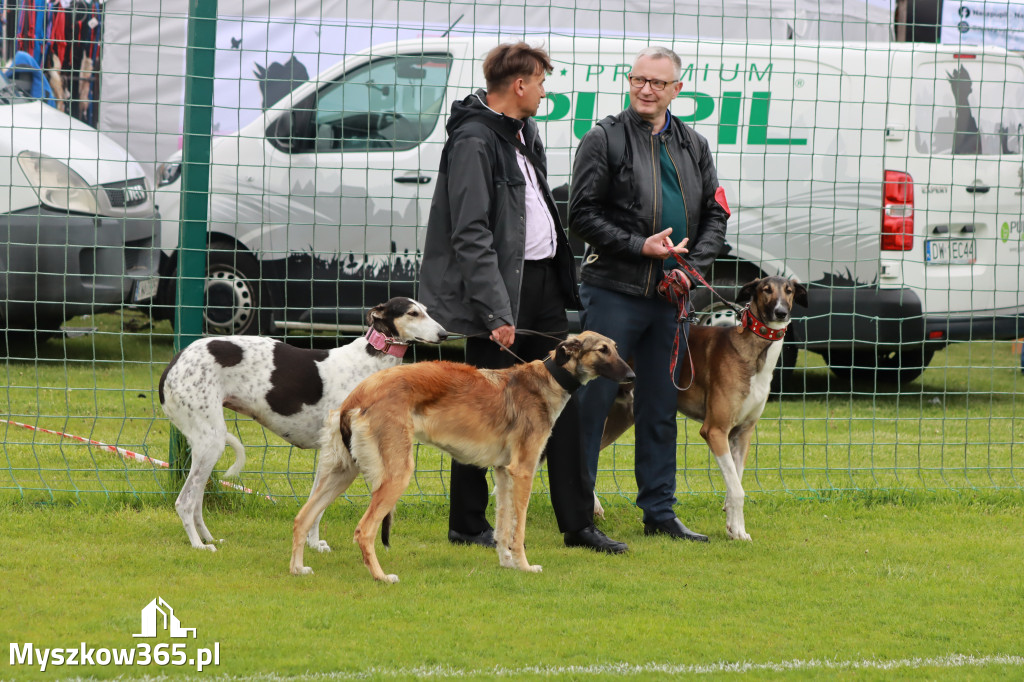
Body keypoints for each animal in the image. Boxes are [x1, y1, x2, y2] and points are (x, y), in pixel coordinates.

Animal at [159, 294, 448, 548]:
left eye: (426, 310)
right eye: (412, 313)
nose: (445, 335)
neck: (368, 362)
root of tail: (174, 363)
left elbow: (316, 503)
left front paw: (312, 543)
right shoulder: (334, 453)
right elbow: (318, 505)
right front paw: (313, 544)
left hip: (206, 445)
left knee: (196, 501)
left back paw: (208, 538)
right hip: (210, 442)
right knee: (185, 502)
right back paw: (199, 545)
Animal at [288, 329, 634, 577]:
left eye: (617, 347)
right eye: (602, 349)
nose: (632, 377)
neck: (546, 380)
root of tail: (358, 395)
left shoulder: (503, 472)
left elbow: (503, 526)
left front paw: (507, 564)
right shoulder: (524, 469)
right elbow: (518, 528)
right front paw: (525, 566)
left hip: (341, 470)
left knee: (302, 517)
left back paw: (298, 569)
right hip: (396, 473)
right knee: (363, 530)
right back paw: (381, 576)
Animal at [598, 274, 806, 540]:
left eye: (789, 291)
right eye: (766, 289)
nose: (780, 312)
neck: (752, 349)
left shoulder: (742, 434)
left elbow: (734, 483)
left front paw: (734, 528)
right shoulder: (715, 430)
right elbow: (737, 490)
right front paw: (738, 532)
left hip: (621, 416)